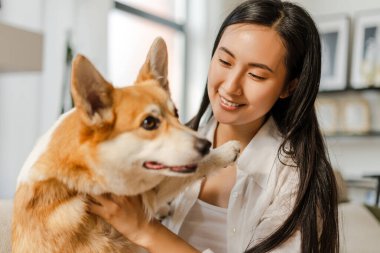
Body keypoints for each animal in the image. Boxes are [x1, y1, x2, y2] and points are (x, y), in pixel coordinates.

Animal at [12, 36, 240, 252]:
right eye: (149, 123)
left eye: (175, 113)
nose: (206, 145)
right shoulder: (143, 192)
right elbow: (193, 169)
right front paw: (226, 151)